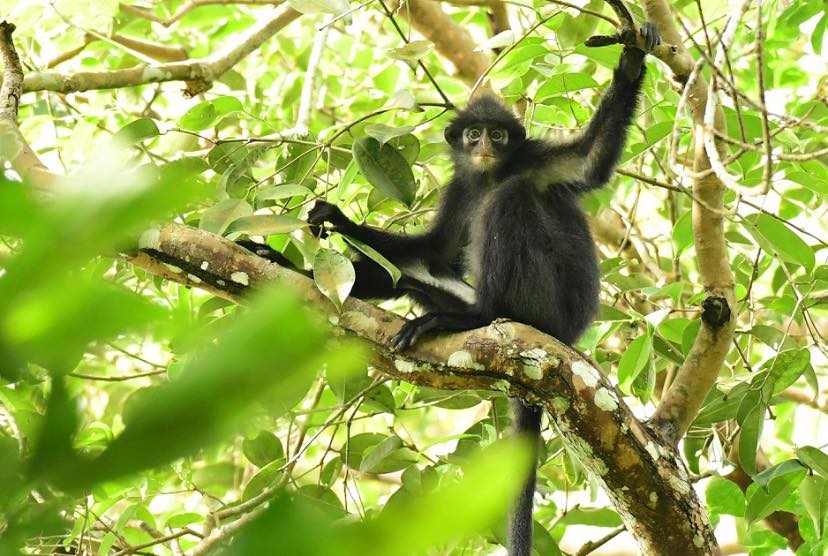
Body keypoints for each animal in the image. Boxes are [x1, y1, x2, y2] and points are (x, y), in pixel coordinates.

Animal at [239, 25, 660, 556]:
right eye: (473, 135)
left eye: (497, 135)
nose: (484, 145)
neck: (490, 172)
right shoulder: (461, 188)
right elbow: (430, 249)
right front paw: (326, 227)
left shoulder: (534, 161)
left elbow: (589, 161)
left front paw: (630, 62)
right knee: (411, 270)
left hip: (545, 302)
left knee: (509, 201)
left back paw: (476, 316)